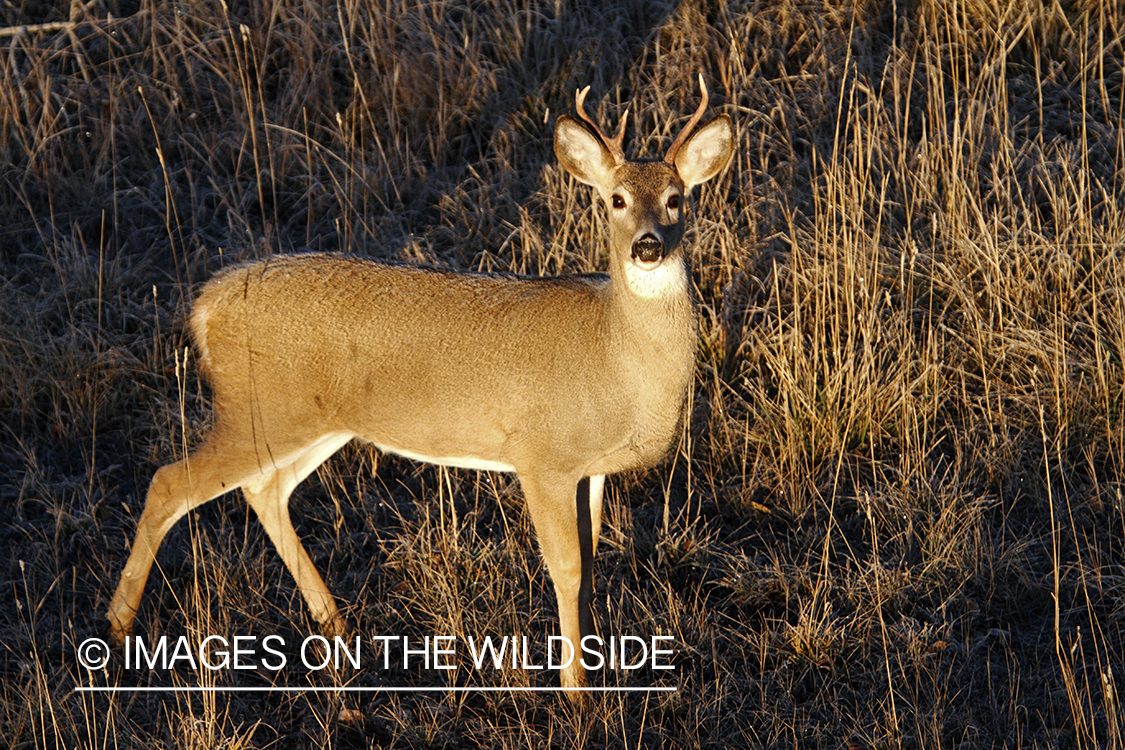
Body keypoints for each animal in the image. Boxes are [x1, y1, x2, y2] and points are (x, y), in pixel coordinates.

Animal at [107, 77, 738, 697]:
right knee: (168, 484)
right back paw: (116, 629)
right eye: (616, 200)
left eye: (677, 198)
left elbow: (590, 564)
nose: (648, 245)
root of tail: (205, 306)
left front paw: (598, 669)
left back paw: (335, 625)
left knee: (265, 491)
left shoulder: (591, 466)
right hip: (254, 411)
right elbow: (567, 568)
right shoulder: (542, 456)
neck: (616, 355)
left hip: (313, 422)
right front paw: (575, 693)